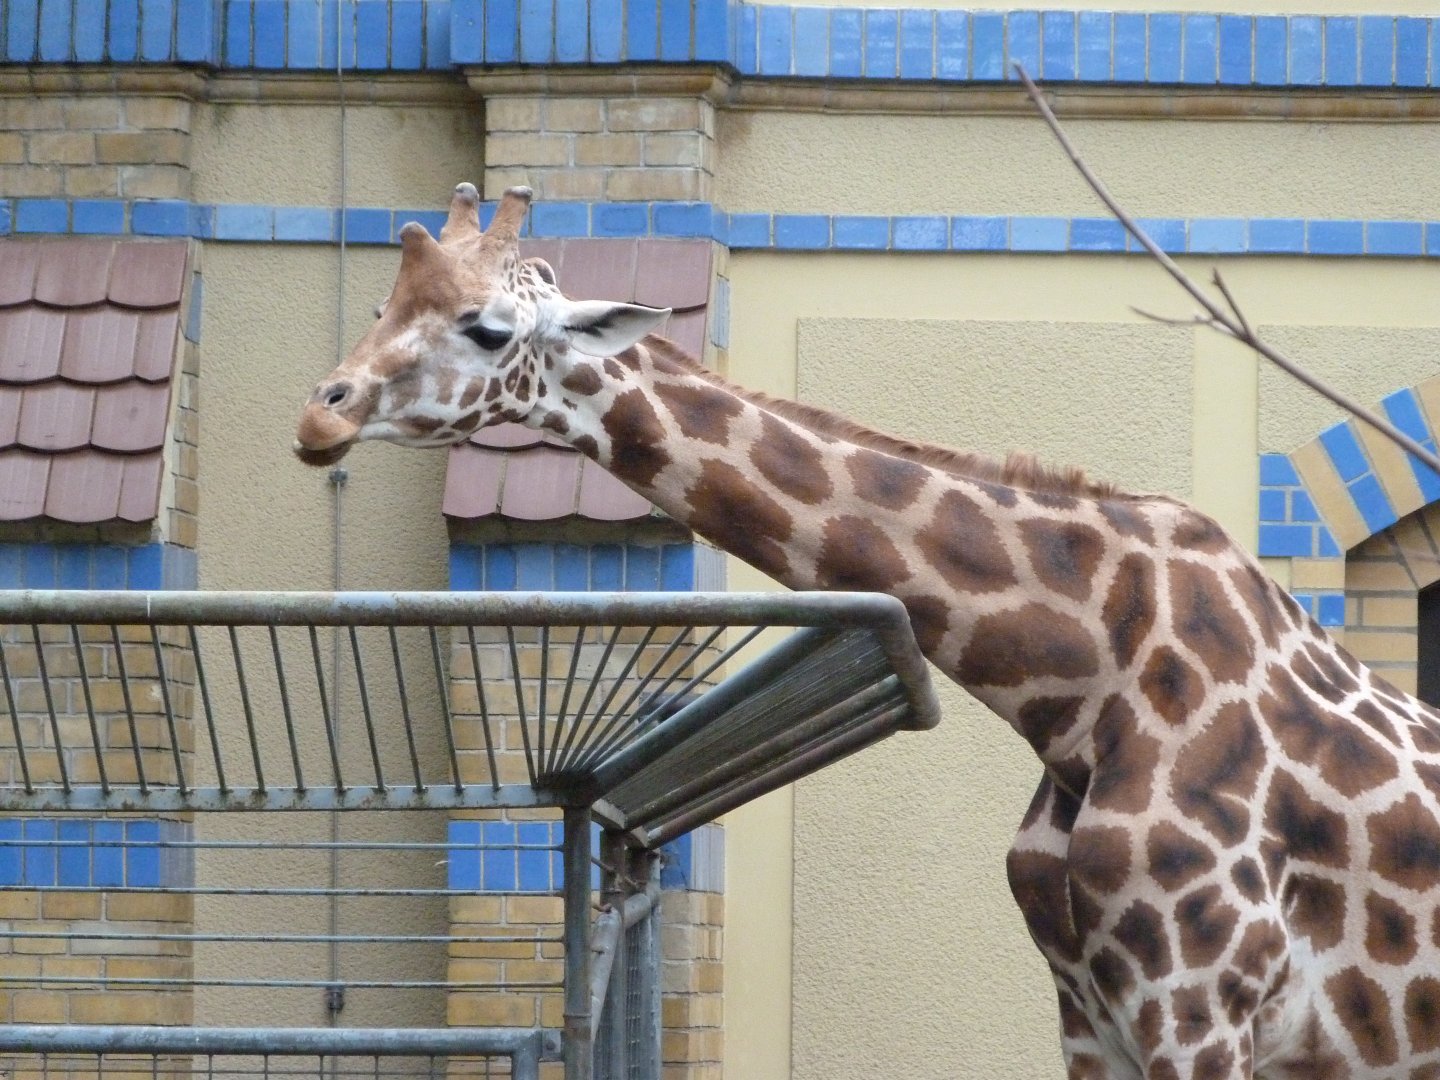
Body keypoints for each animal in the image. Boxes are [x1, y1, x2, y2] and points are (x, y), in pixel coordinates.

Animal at [294, 183, 1440, 1079]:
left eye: (486, 326)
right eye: (385, 300)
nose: (321, 414)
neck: (1082, 683)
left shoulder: (1201, 1007)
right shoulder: (1089, 1012)